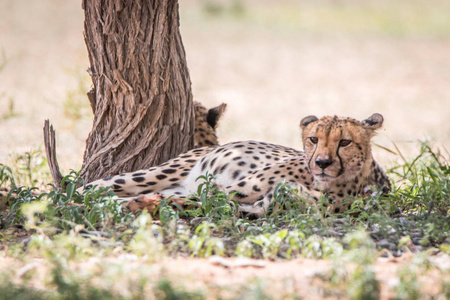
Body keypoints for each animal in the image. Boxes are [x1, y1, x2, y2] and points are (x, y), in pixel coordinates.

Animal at [83, 112, 390, 216]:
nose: (322, 162)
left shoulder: (256, 207)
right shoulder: (230, 189)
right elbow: (208, 198)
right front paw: (141, 204)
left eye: (345, 142)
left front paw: (143, 205)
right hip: (156, 173)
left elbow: (204, 205)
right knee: (88, 187)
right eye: (314, 139)